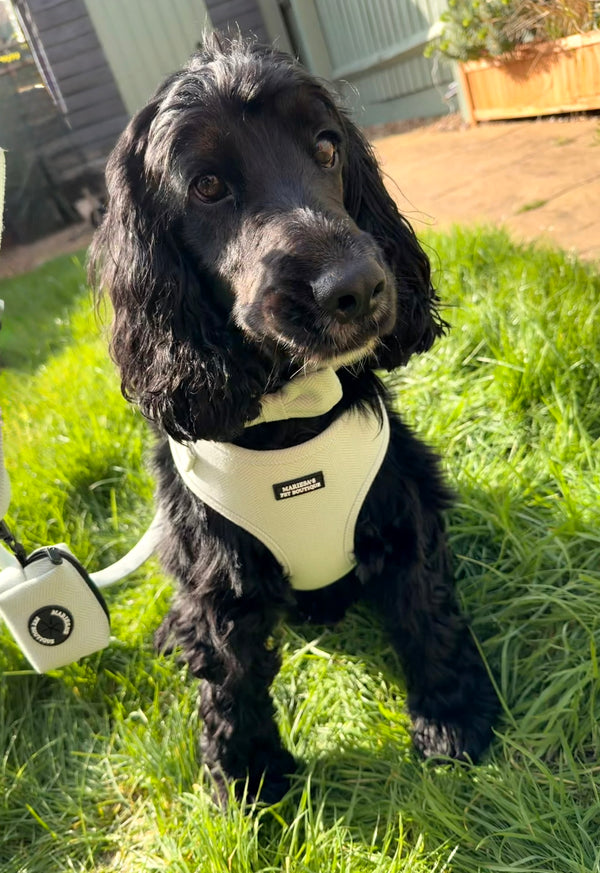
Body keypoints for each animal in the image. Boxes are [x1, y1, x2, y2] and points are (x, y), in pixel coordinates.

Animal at [90, 35, 498, 805]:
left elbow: (428, 609)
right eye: (206, 186)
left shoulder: (403, 505)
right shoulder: (215, 566)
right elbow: (228, 677)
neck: (291, 418)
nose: (357, 287)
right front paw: (246, 777)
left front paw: (454, 716)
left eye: (327, 147)